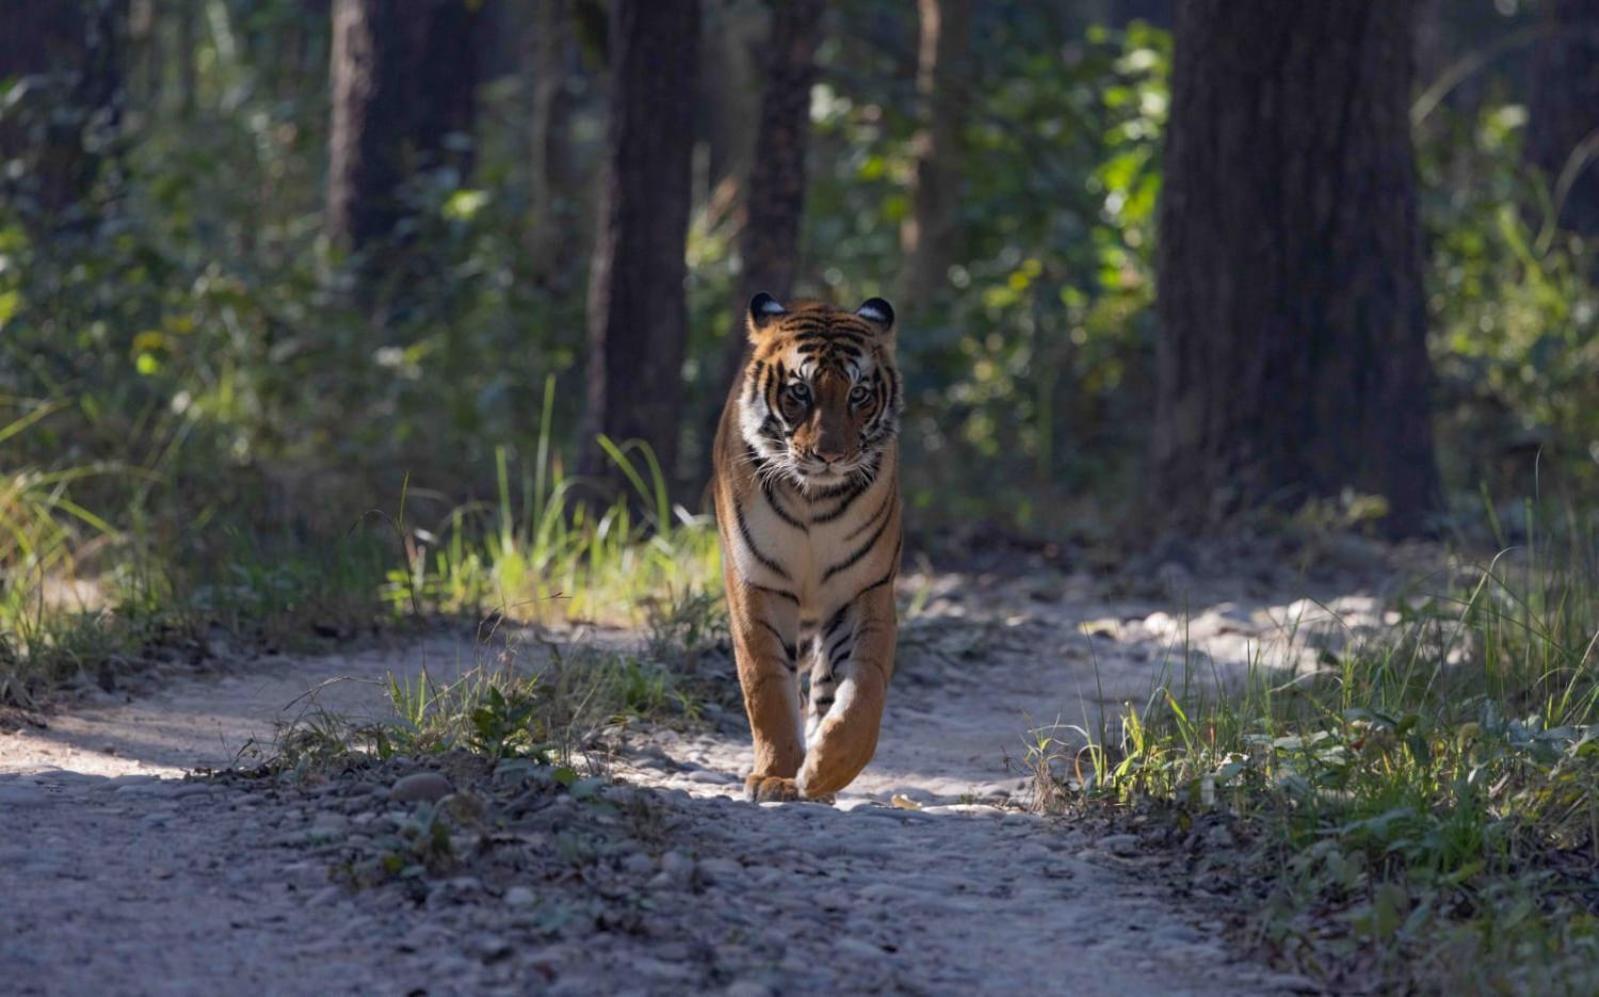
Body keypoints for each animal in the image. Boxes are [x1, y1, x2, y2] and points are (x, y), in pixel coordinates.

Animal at [709, 290, 901, 802]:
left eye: (859, 394)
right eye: (799, 393)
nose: (829, 456)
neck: (814, 496)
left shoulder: (864, 590)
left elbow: (863, 691)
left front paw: (823, 771)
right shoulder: (757, 585)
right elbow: (767, 686)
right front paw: (776, 776)